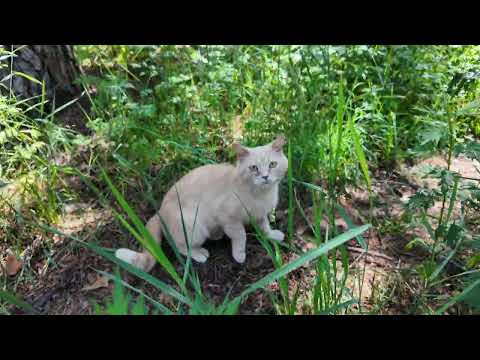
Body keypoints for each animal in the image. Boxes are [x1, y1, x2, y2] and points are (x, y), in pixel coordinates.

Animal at [115, 135, 288, 272]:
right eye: (254, 168)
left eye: (272, 164)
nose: (265, 177)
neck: (260, 195)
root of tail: (160, 210)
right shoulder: (228, 218)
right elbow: (240, 236)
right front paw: (239, 254)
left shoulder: (260, 215)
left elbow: (265, 226)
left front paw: (272, 235)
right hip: (194, 227)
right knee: (180, 246)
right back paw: (199, 254)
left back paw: (217, 234)